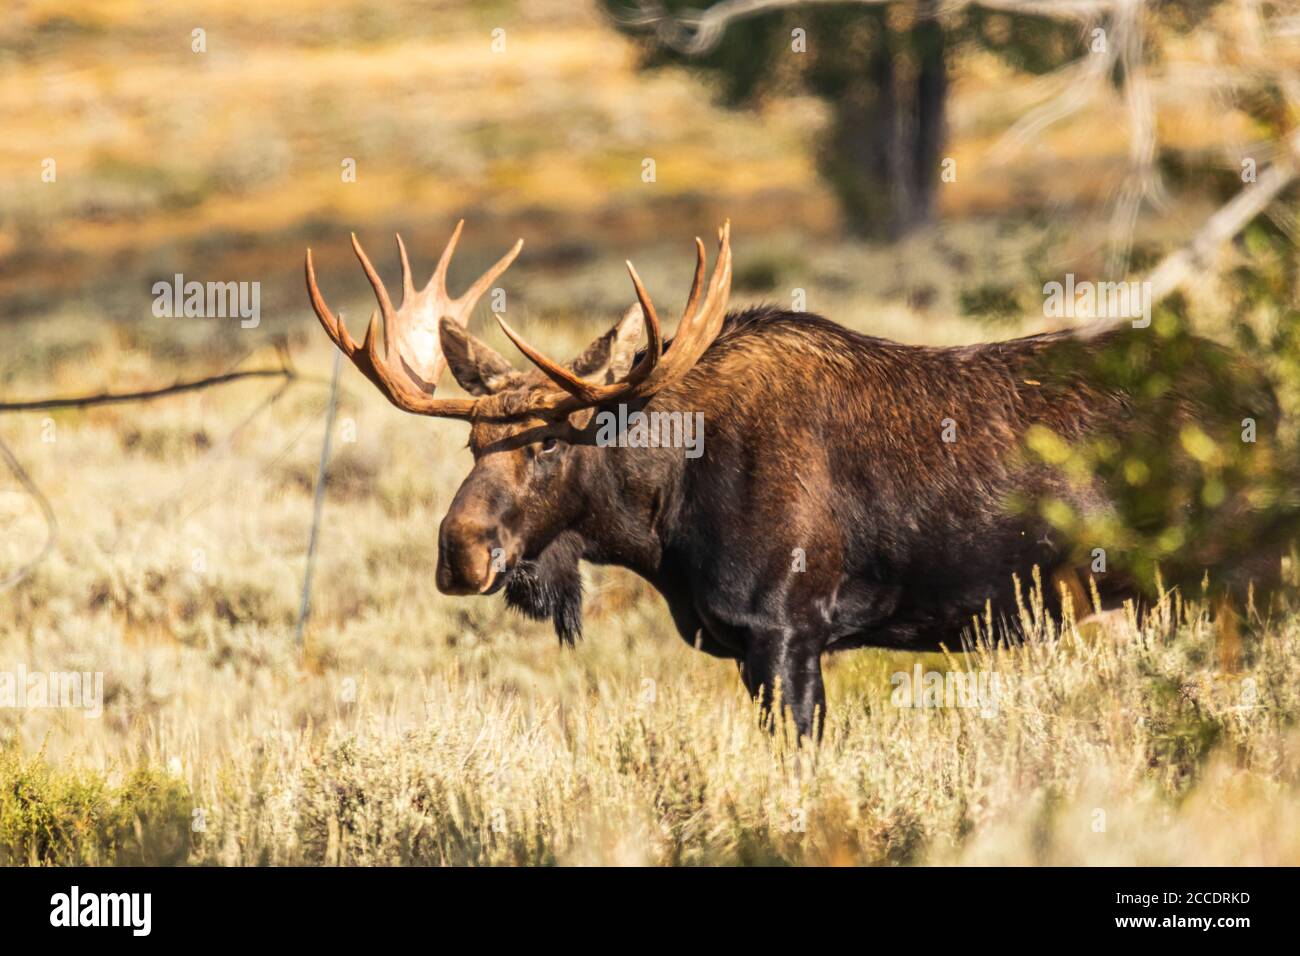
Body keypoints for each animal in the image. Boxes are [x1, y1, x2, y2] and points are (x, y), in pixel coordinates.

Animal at [306, 222, 1279, 738]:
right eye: (471, 443)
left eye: (550, 445)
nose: (460, 553)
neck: (664, 522)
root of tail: (1266, 391)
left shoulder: (788, 635)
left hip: (1237, 581)